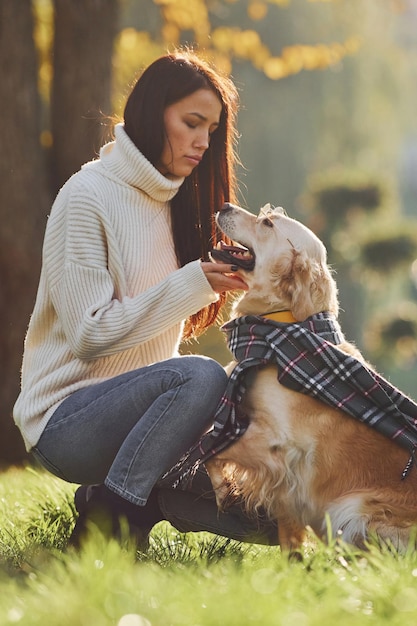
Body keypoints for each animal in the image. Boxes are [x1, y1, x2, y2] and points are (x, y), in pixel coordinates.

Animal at [205, 202, 416, 548]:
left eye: (267, 223)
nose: (223, 206)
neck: (279, 331)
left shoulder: (280, 444)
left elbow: (211, 445)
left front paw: (223, 491)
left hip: (353, 508)